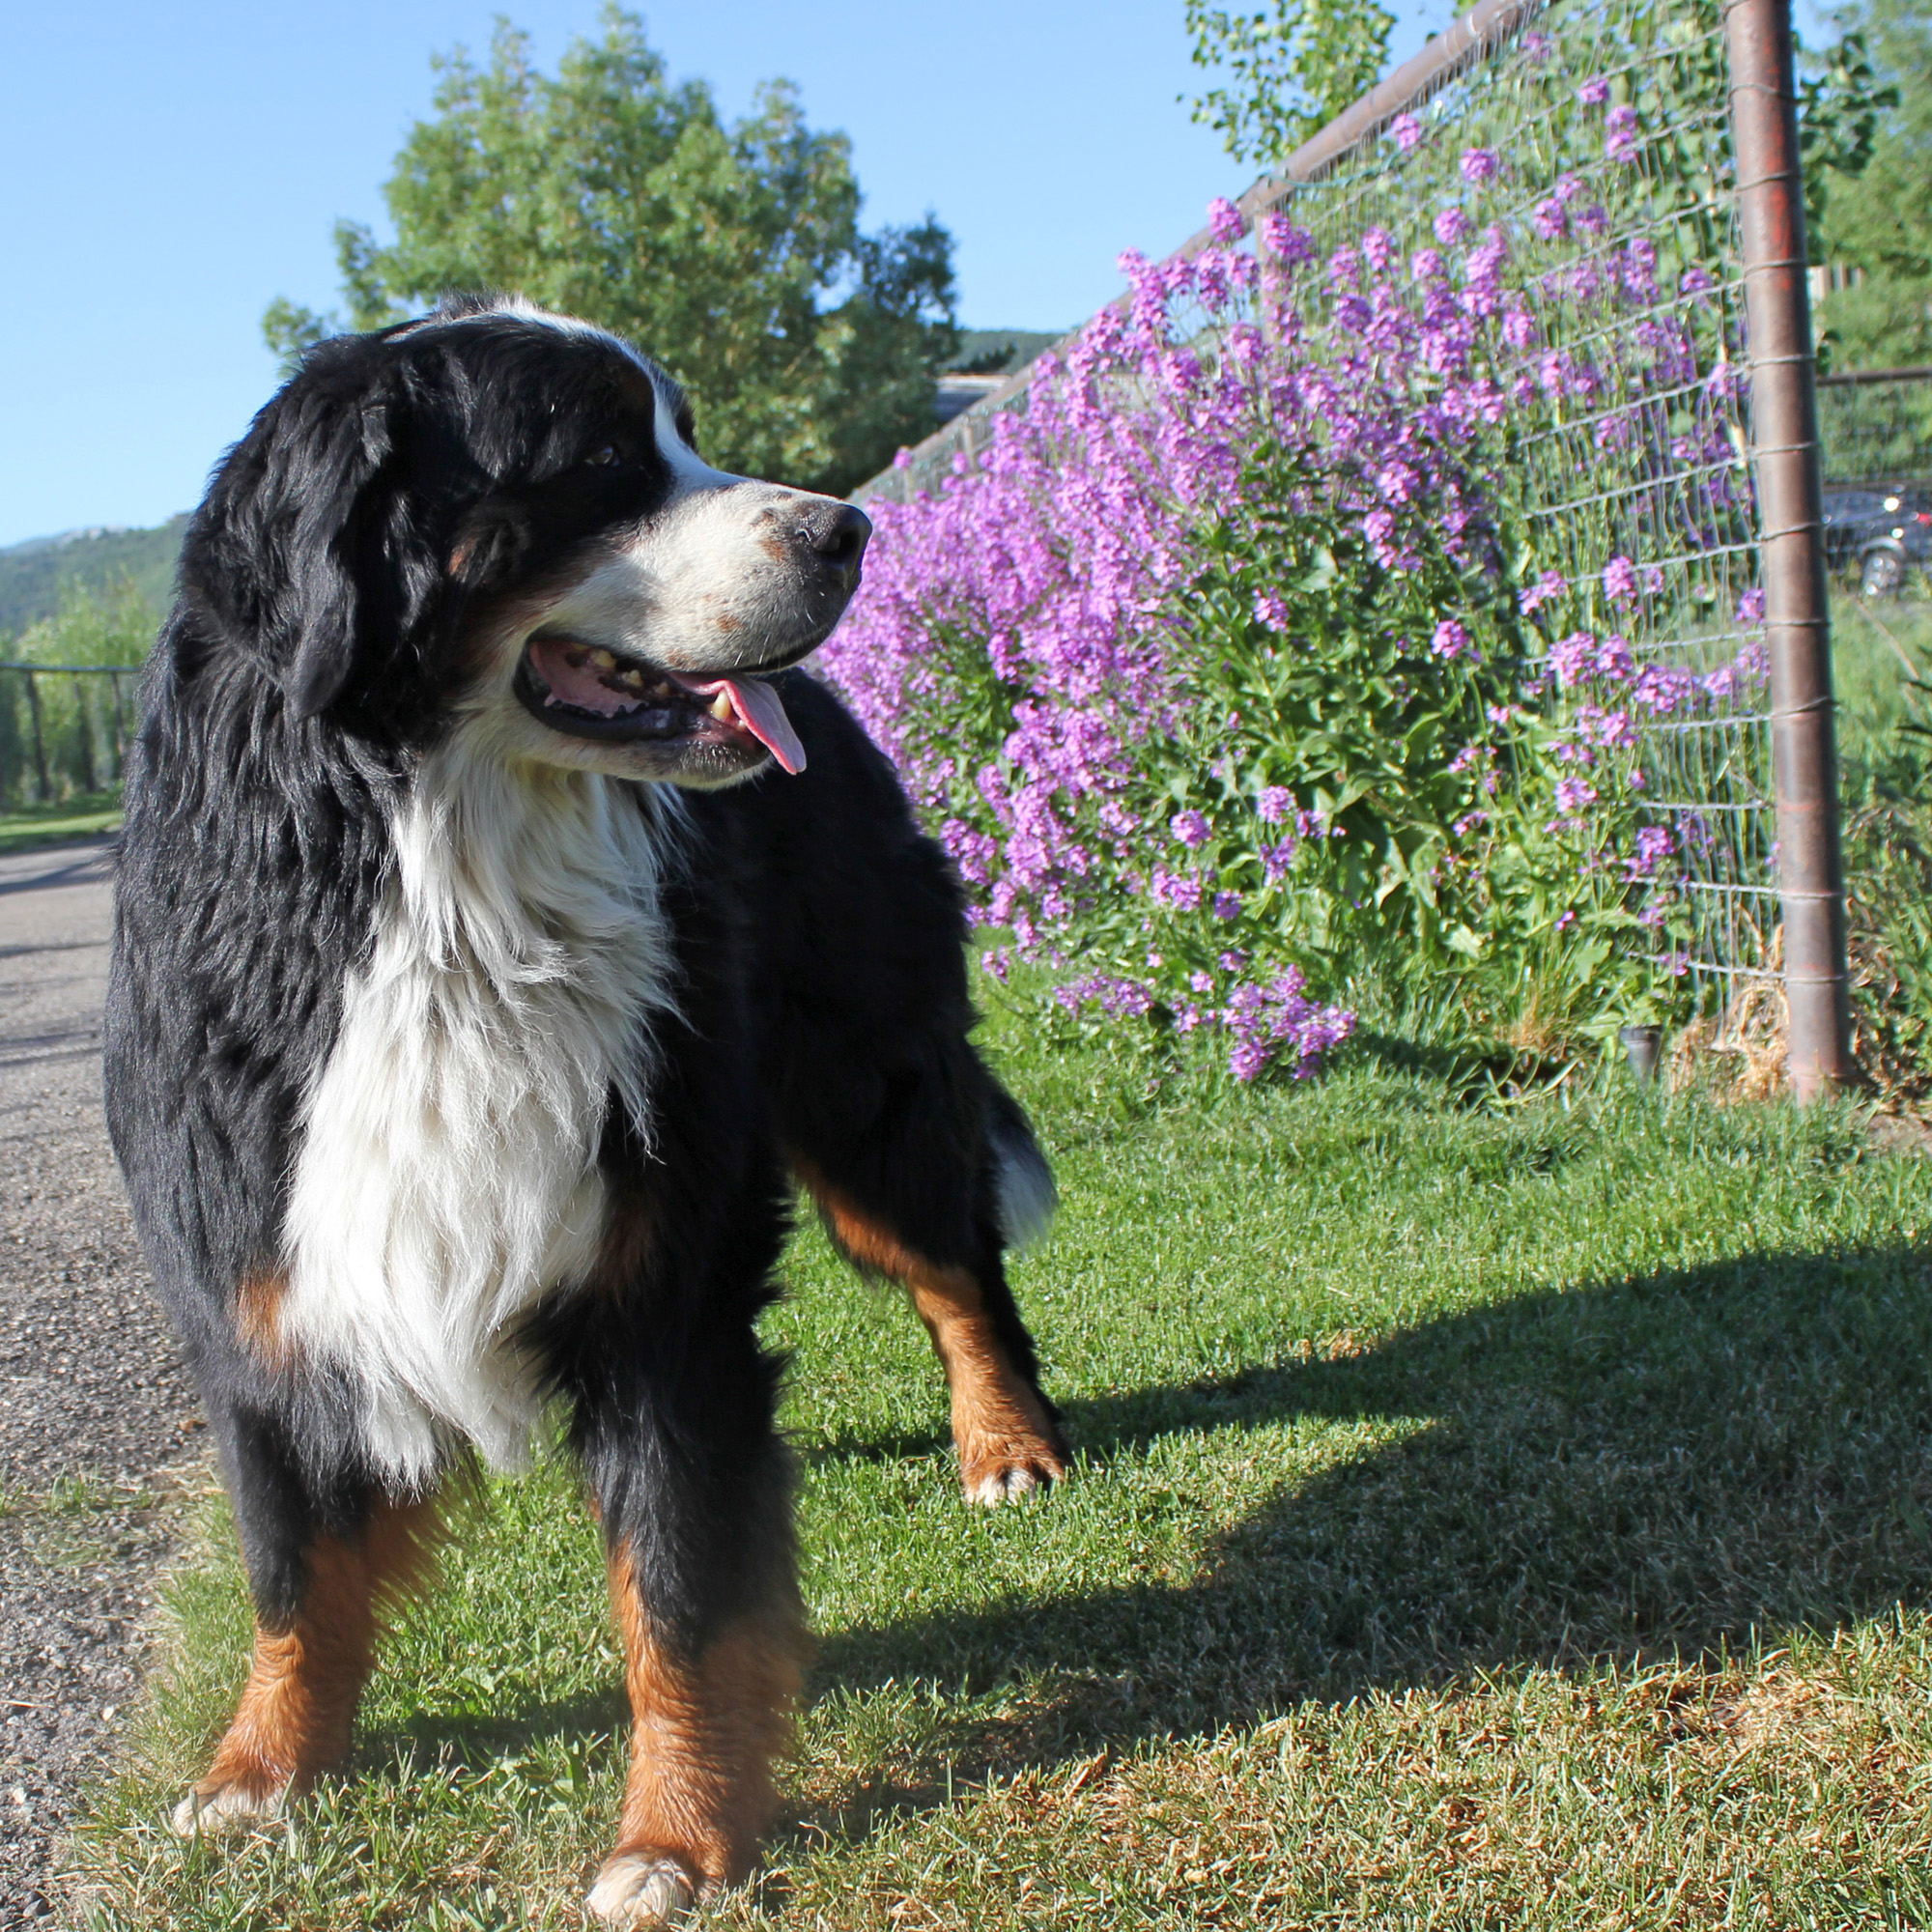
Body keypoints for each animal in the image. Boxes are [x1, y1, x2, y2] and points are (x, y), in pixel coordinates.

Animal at [103, 294, 1066, 1924]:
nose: (850, 527)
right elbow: (290, 1566)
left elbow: (679, 1586)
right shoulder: (253, 1273)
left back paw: (1008, 1445)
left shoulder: (656, 1290)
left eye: (682, 429)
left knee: (954, 1266)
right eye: (606, 459)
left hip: (864, 1082)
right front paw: (261, 1773)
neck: (442, 902)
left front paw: (675, 1837)